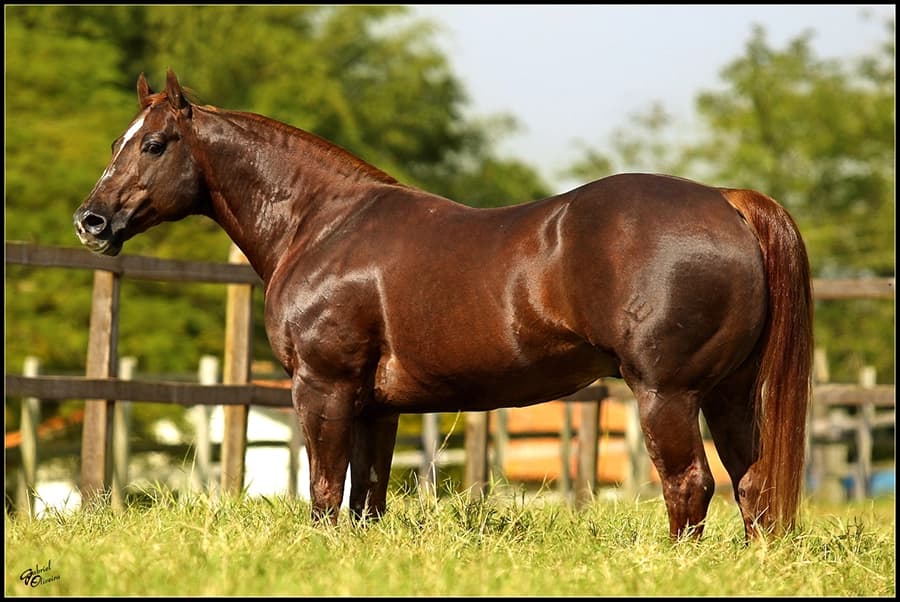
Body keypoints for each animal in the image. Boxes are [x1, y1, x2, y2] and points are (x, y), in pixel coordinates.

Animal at [74, 70, 812, 539]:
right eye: (114, 141)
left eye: (153, 143)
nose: (91, 221)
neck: (324, 225)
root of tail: (726, 203)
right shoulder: (376, 406)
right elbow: (366, 497)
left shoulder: (323, 388)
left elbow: (324, 492)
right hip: (729, 393)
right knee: (752, 485)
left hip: (667, 393)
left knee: (690, 485)